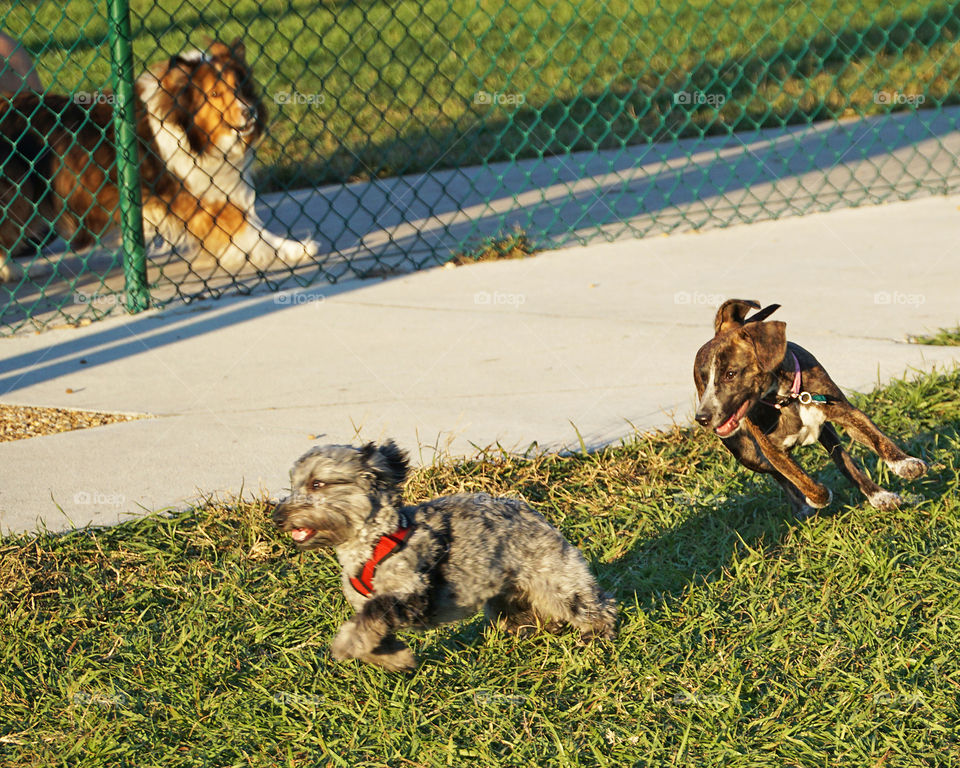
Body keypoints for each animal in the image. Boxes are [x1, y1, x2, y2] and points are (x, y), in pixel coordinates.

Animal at [0, 38, 320, 282]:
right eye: (214, 93)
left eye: (240, 87)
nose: (249, 112)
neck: (186, 129)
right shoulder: (205, 197)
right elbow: (252, 230)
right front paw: (297, 249)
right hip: (18, 196)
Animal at [272, 440, 616, 668]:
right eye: (293, 485)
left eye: (318, 484)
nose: (277, 517)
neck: (372, 543)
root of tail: (528, 510)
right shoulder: (370, 608)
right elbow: (371, 633)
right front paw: (397, 659)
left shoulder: (411, 595)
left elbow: (371, 616)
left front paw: (345, 645)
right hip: (504, 598)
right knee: (524, 618)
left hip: (556, 581)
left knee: (594, 605)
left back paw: (596, 633)